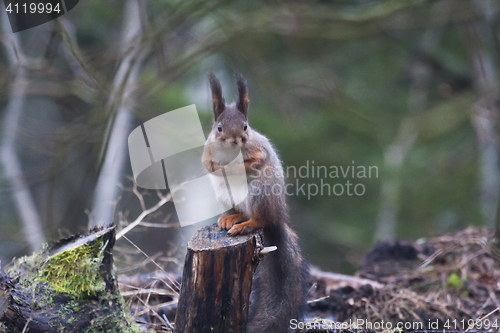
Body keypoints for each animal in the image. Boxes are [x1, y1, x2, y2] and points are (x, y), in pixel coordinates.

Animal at [201, 73, 306, 332]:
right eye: (219, 127)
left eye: (245, 126)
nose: (236, 141)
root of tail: (279, 215)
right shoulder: (208, 151)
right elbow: (208, 165)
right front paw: (221, 168)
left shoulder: (258, 150)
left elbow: (255, 160)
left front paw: (235, 167)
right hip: (224, 194)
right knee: (242, 212)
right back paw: (231, 218)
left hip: (261, 191)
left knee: (260, 219)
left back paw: (246, 224)